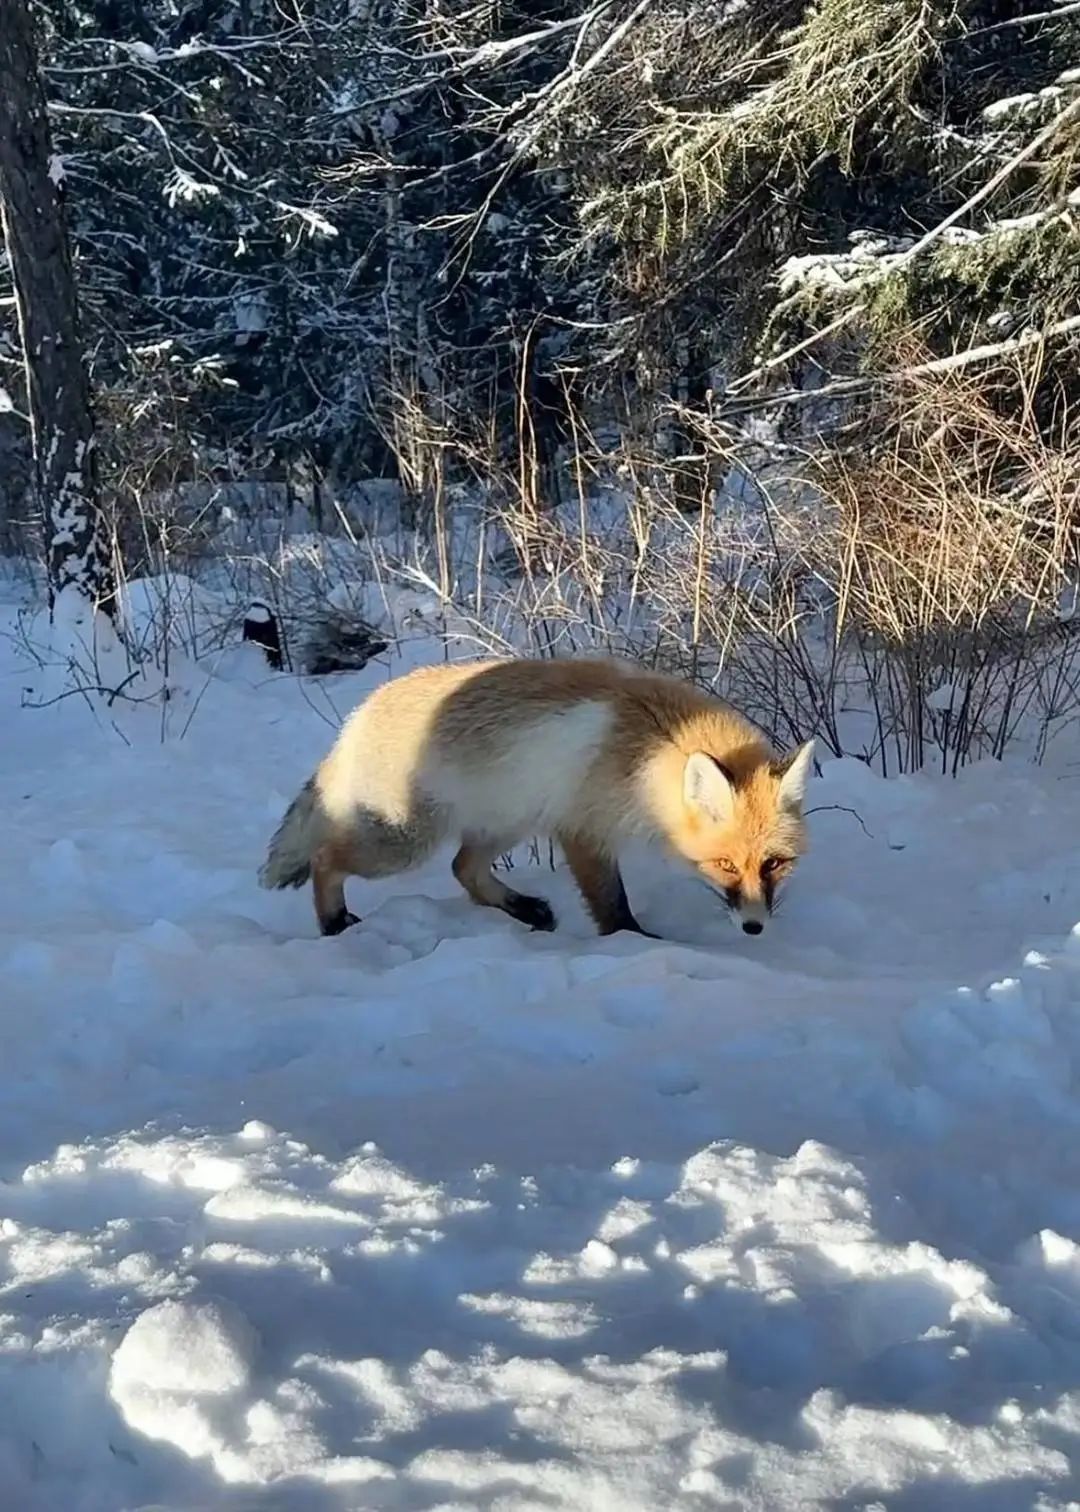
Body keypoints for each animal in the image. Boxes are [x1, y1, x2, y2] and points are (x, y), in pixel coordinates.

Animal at [257, 656, 810, 937]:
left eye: (774, 864)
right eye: (725, 865)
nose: (755, 927)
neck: (647, 746)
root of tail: (359, 715)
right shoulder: (583, 828)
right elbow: (614, 908)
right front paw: (634, 944)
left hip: (507, 823)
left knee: (463, 869)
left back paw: (523, 910)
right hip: (403, 842)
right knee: (326, 858)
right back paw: (333, 924)